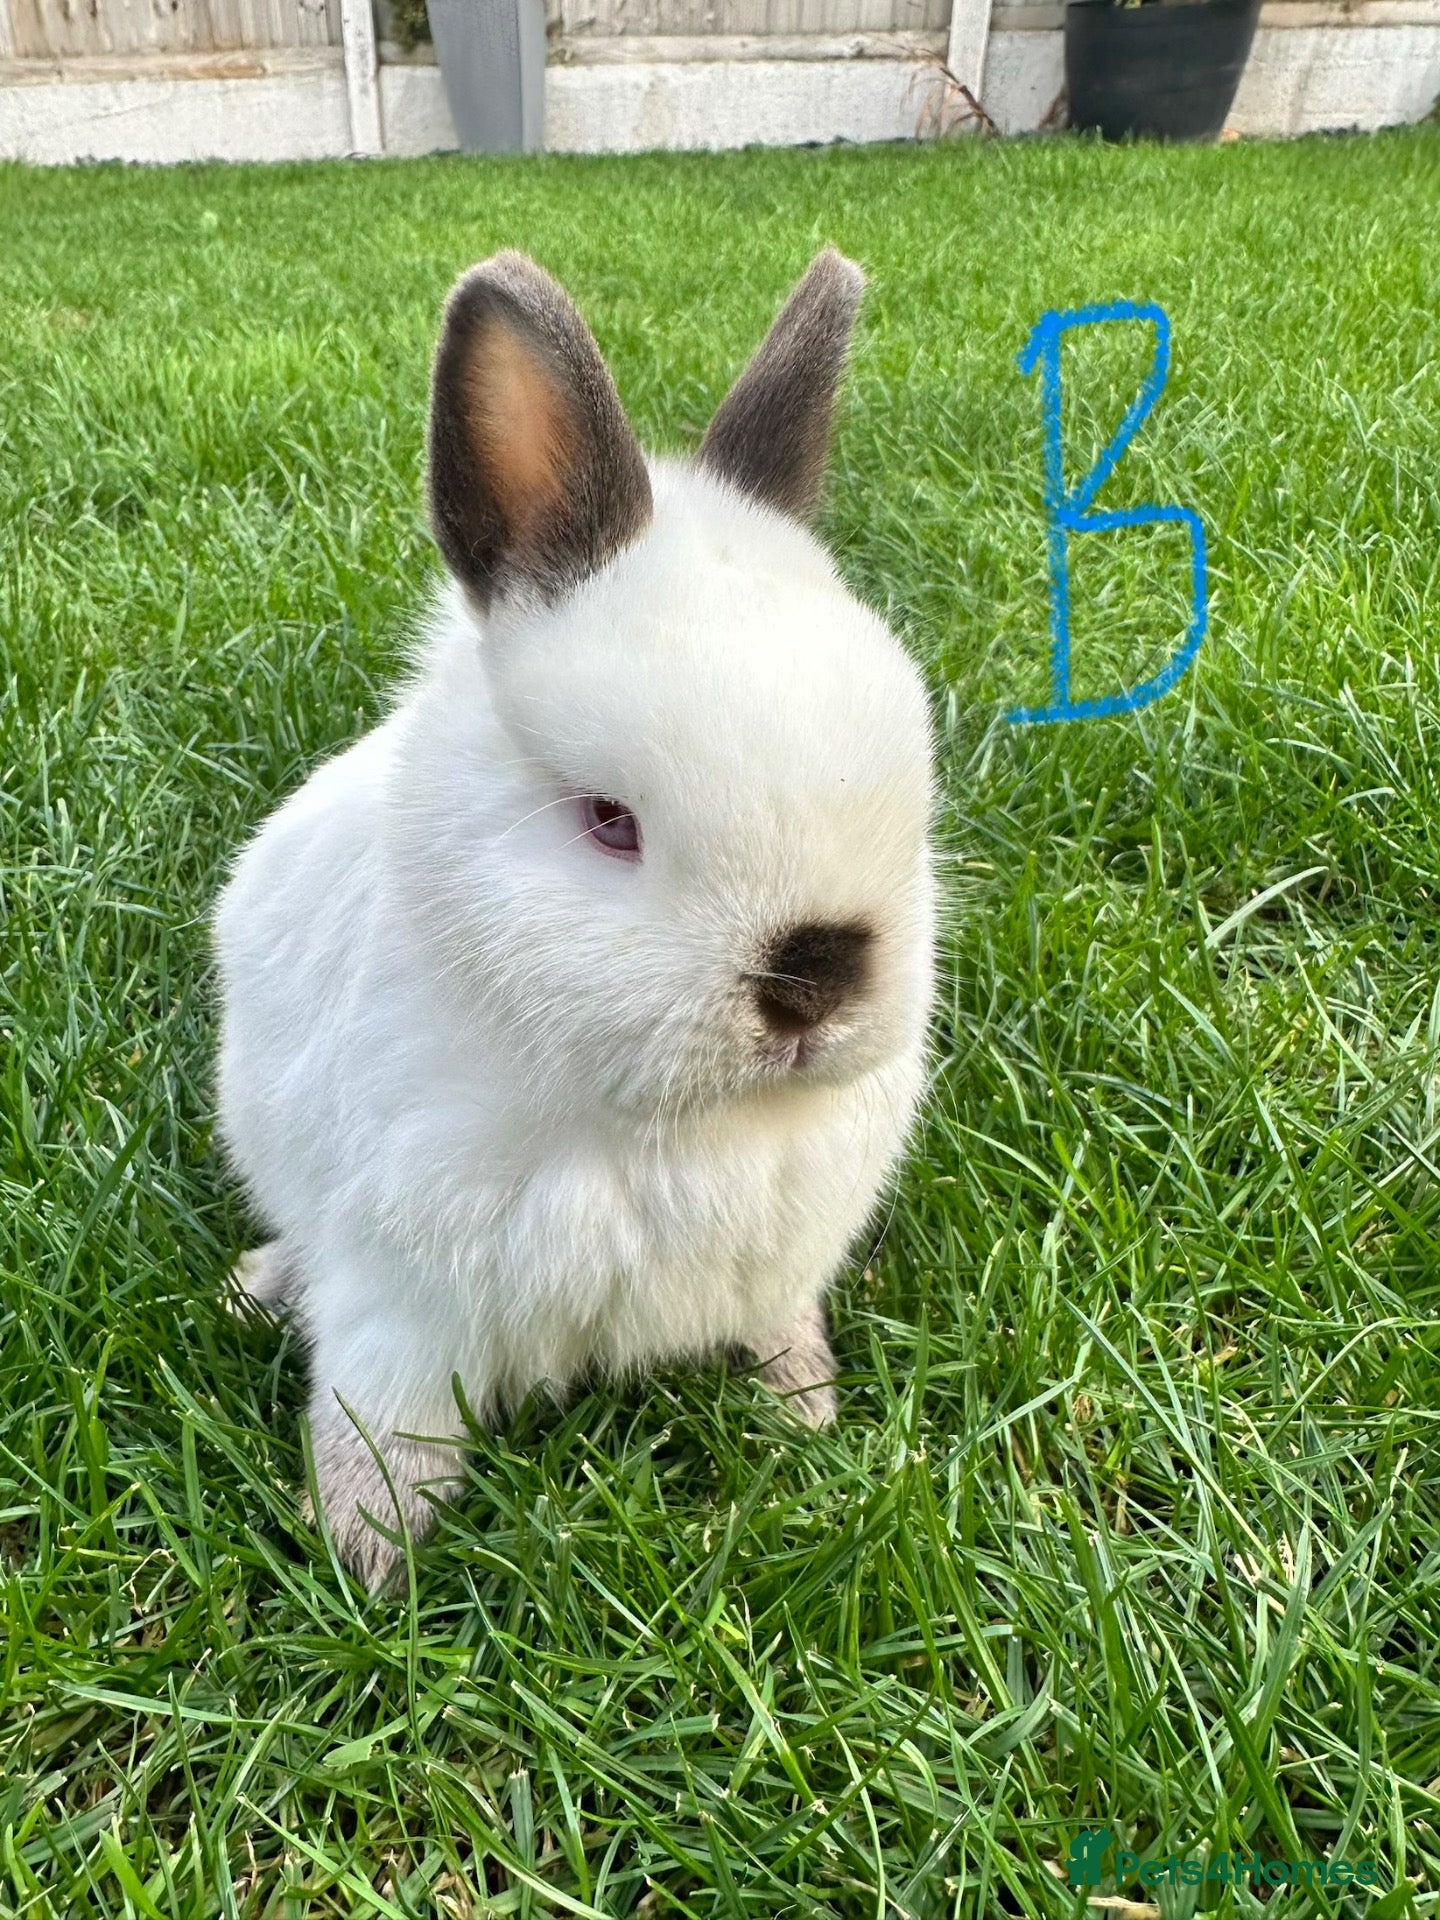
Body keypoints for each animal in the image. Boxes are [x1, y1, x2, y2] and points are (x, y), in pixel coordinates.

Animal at [213, 247, 938, 1591]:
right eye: (609, 819)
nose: (815, 978)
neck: (666, 1124)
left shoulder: (781, 1263)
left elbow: (781, 1335)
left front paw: (806, 1421)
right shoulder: (402, 1298)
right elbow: (376, 1420)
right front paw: (367, 1563)